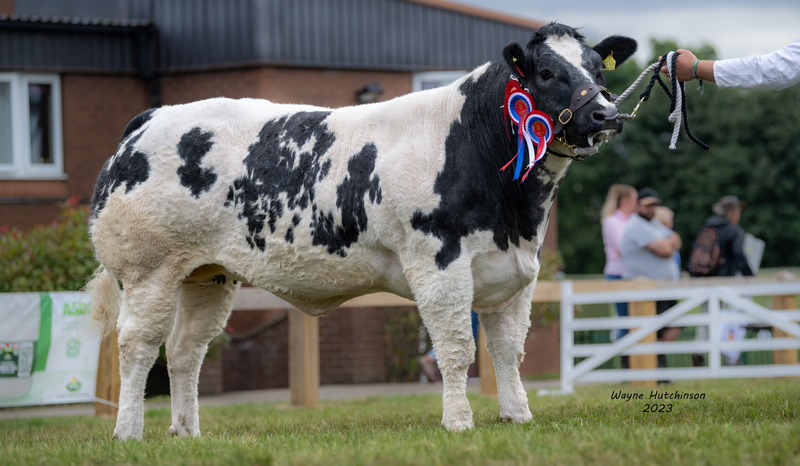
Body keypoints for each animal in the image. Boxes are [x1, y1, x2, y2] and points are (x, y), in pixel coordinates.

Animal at [87, 22, 636, 436]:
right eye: (546, 71)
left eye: (596, 66)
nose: (606, 113)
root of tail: (150, 118)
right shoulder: (439, 263)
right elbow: (456, 348)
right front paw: (458, 422)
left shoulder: (516, 272)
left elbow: (507, 351)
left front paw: (517, 416)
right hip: (149, 269)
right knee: (137, 346)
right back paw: (129, 431)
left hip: (207, 274)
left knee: (185, 351)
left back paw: (186, 432)